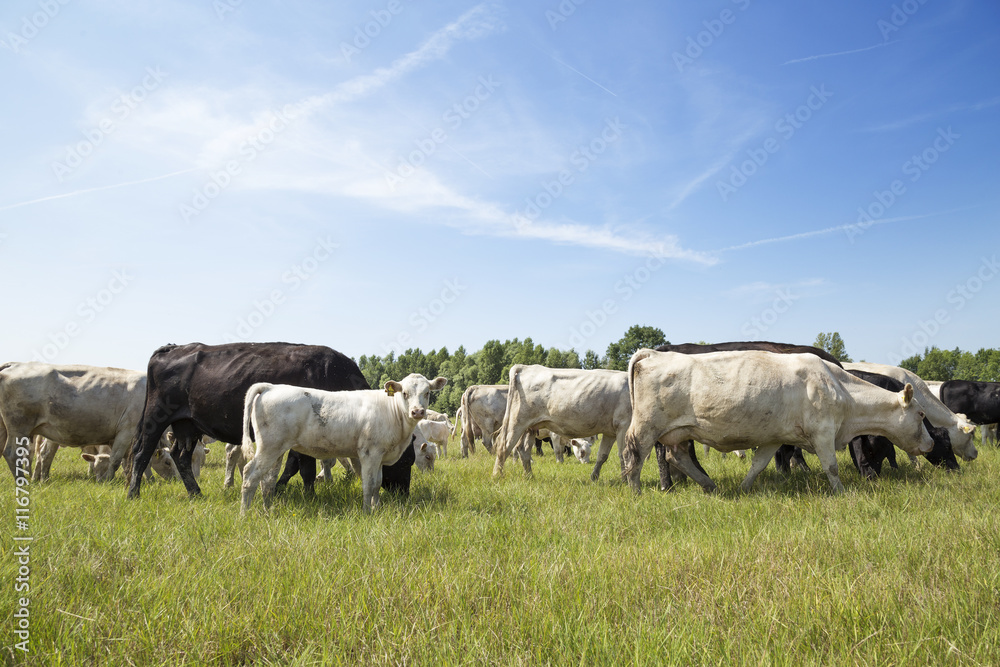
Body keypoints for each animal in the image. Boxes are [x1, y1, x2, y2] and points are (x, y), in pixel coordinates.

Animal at [0, 362, 150, 482]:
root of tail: (16, 364)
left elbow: (132, 461)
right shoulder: (127, 430)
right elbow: (116, 460)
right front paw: (109, 481)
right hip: (19, 426)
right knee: (12, 454)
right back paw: (23, 482)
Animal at [130, 344, 382, 500]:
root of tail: (173, 347)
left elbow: (296, 467)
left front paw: (284, 490)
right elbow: (305, 469)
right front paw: (307, 496)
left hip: (188, 426)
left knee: (180, 457)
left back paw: (196, 494)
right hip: (155, 420)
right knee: (141, 454)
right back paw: (133, 494)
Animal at [238, 374, 446, 516]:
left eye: (427, 393)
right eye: (404, 393)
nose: (417, 412)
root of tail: (270, 387)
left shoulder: (380, 455)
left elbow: (377, 483)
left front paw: (376, 508)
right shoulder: (369, 453)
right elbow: (369, 484)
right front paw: (367, 512)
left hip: (277, 449)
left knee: (267, 480)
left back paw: (268, 510)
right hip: (269, 447)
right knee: (250, 474)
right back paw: (244, 514)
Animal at [624, 352, 936, 494]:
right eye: (921, 415)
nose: (932, 443)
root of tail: (653, 353)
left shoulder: (773, 438)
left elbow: (758, 464)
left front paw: (744, 488)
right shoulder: (822, 432)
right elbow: (832, 467)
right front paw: (841, 492)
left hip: (678, 432)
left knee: (676, 457)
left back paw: (710, 485)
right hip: (646, 427)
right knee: (635, 457)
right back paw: (636, 490)